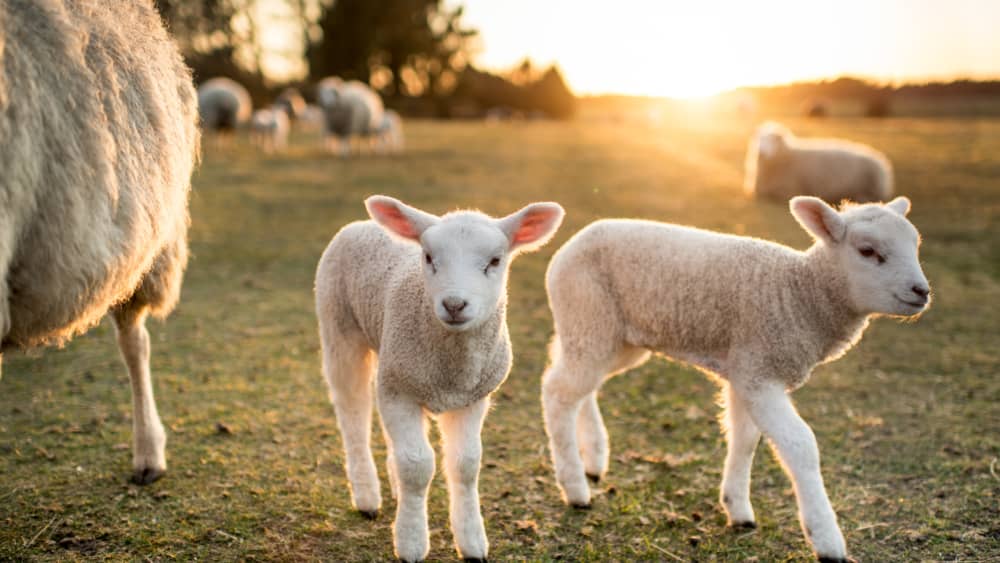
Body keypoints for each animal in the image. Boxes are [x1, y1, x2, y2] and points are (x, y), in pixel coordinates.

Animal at [316, 196, 568, 560]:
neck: (451, 371)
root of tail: (360, 224)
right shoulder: (401, 391)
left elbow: (465, 464)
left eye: (495, 261)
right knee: (353, 414)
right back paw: (366, 497)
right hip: (340, 330)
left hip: (389, 359)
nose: (454, 304)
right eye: (428, 257)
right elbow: (417, 465)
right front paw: (411, 541)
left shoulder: (471, 397)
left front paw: (472, 541)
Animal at [540, 196, 928, 560]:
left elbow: (744, 439)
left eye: (915, 245)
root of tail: (575, 239)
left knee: (580, 384)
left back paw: (594, 459)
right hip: (588, 315)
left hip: (612, 337)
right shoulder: (759, 373)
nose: (921, 291)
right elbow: (800, 445)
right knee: (558, 391)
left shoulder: (746, 371)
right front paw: (826, 539)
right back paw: (575, 487)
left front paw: (737, 508)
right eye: (868, 251)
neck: (800, 293)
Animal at [748, 122, 896, 206]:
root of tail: (882, 161)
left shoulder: (788, 190)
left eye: (772, 140)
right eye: (759, 139)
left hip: (868, 188)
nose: (761, 152)